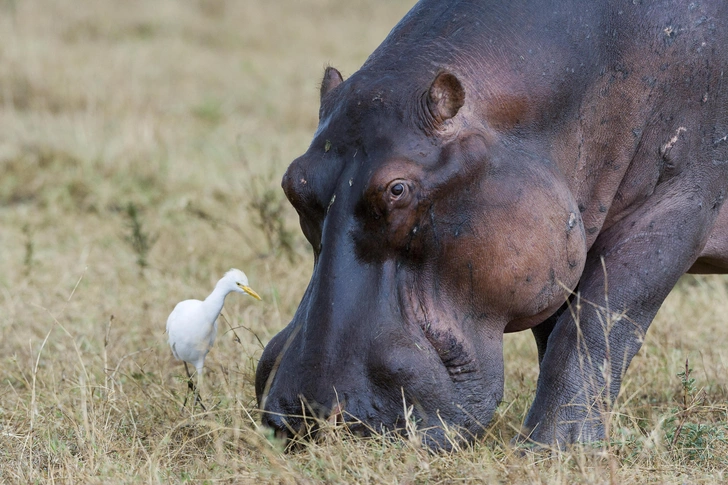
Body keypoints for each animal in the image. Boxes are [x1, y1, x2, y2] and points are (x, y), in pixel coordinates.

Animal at [255, 0, 728, 446]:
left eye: (396, 190)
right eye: (293, 182)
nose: (304, 417)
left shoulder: (678, 205)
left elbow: (599, 321)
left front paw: (552, 450)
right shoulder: (559, 240)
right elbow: (555, 332)